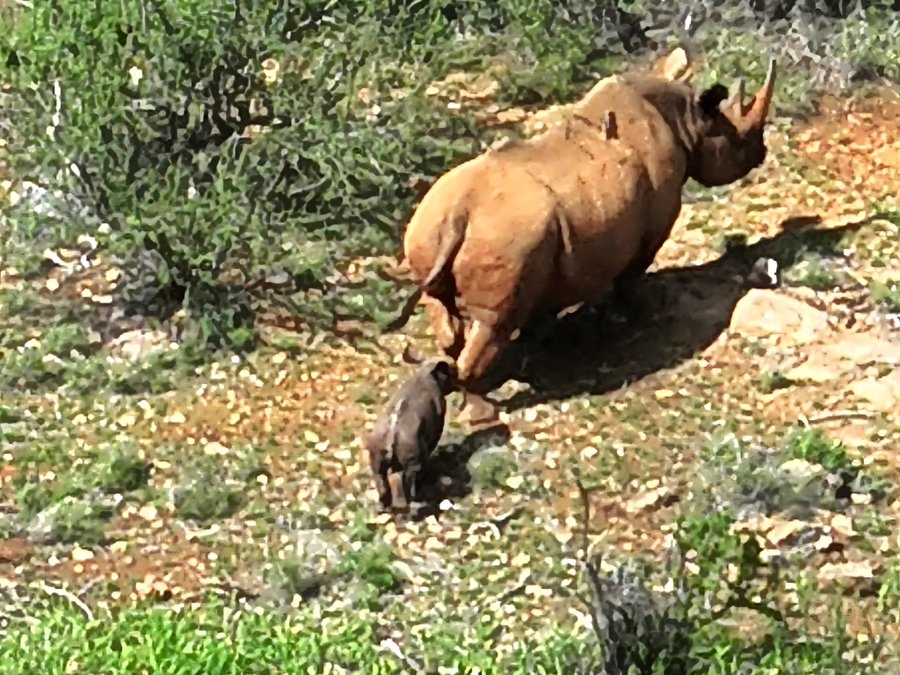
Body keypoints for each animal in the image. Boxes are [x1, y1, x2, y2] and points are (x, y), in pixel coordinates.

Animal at [386, 50, 778, 424]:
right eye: (740, 138)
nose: (761, 154)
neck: (688, 120)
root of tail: (460, 212)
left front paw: (546, 338)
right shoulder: (654, 225)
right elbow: (631, 276)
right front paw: (634, 316)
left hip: (432, 225)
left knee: (443, 309)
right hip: (503, 237)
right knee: (492, 324)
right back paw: (483, 413)